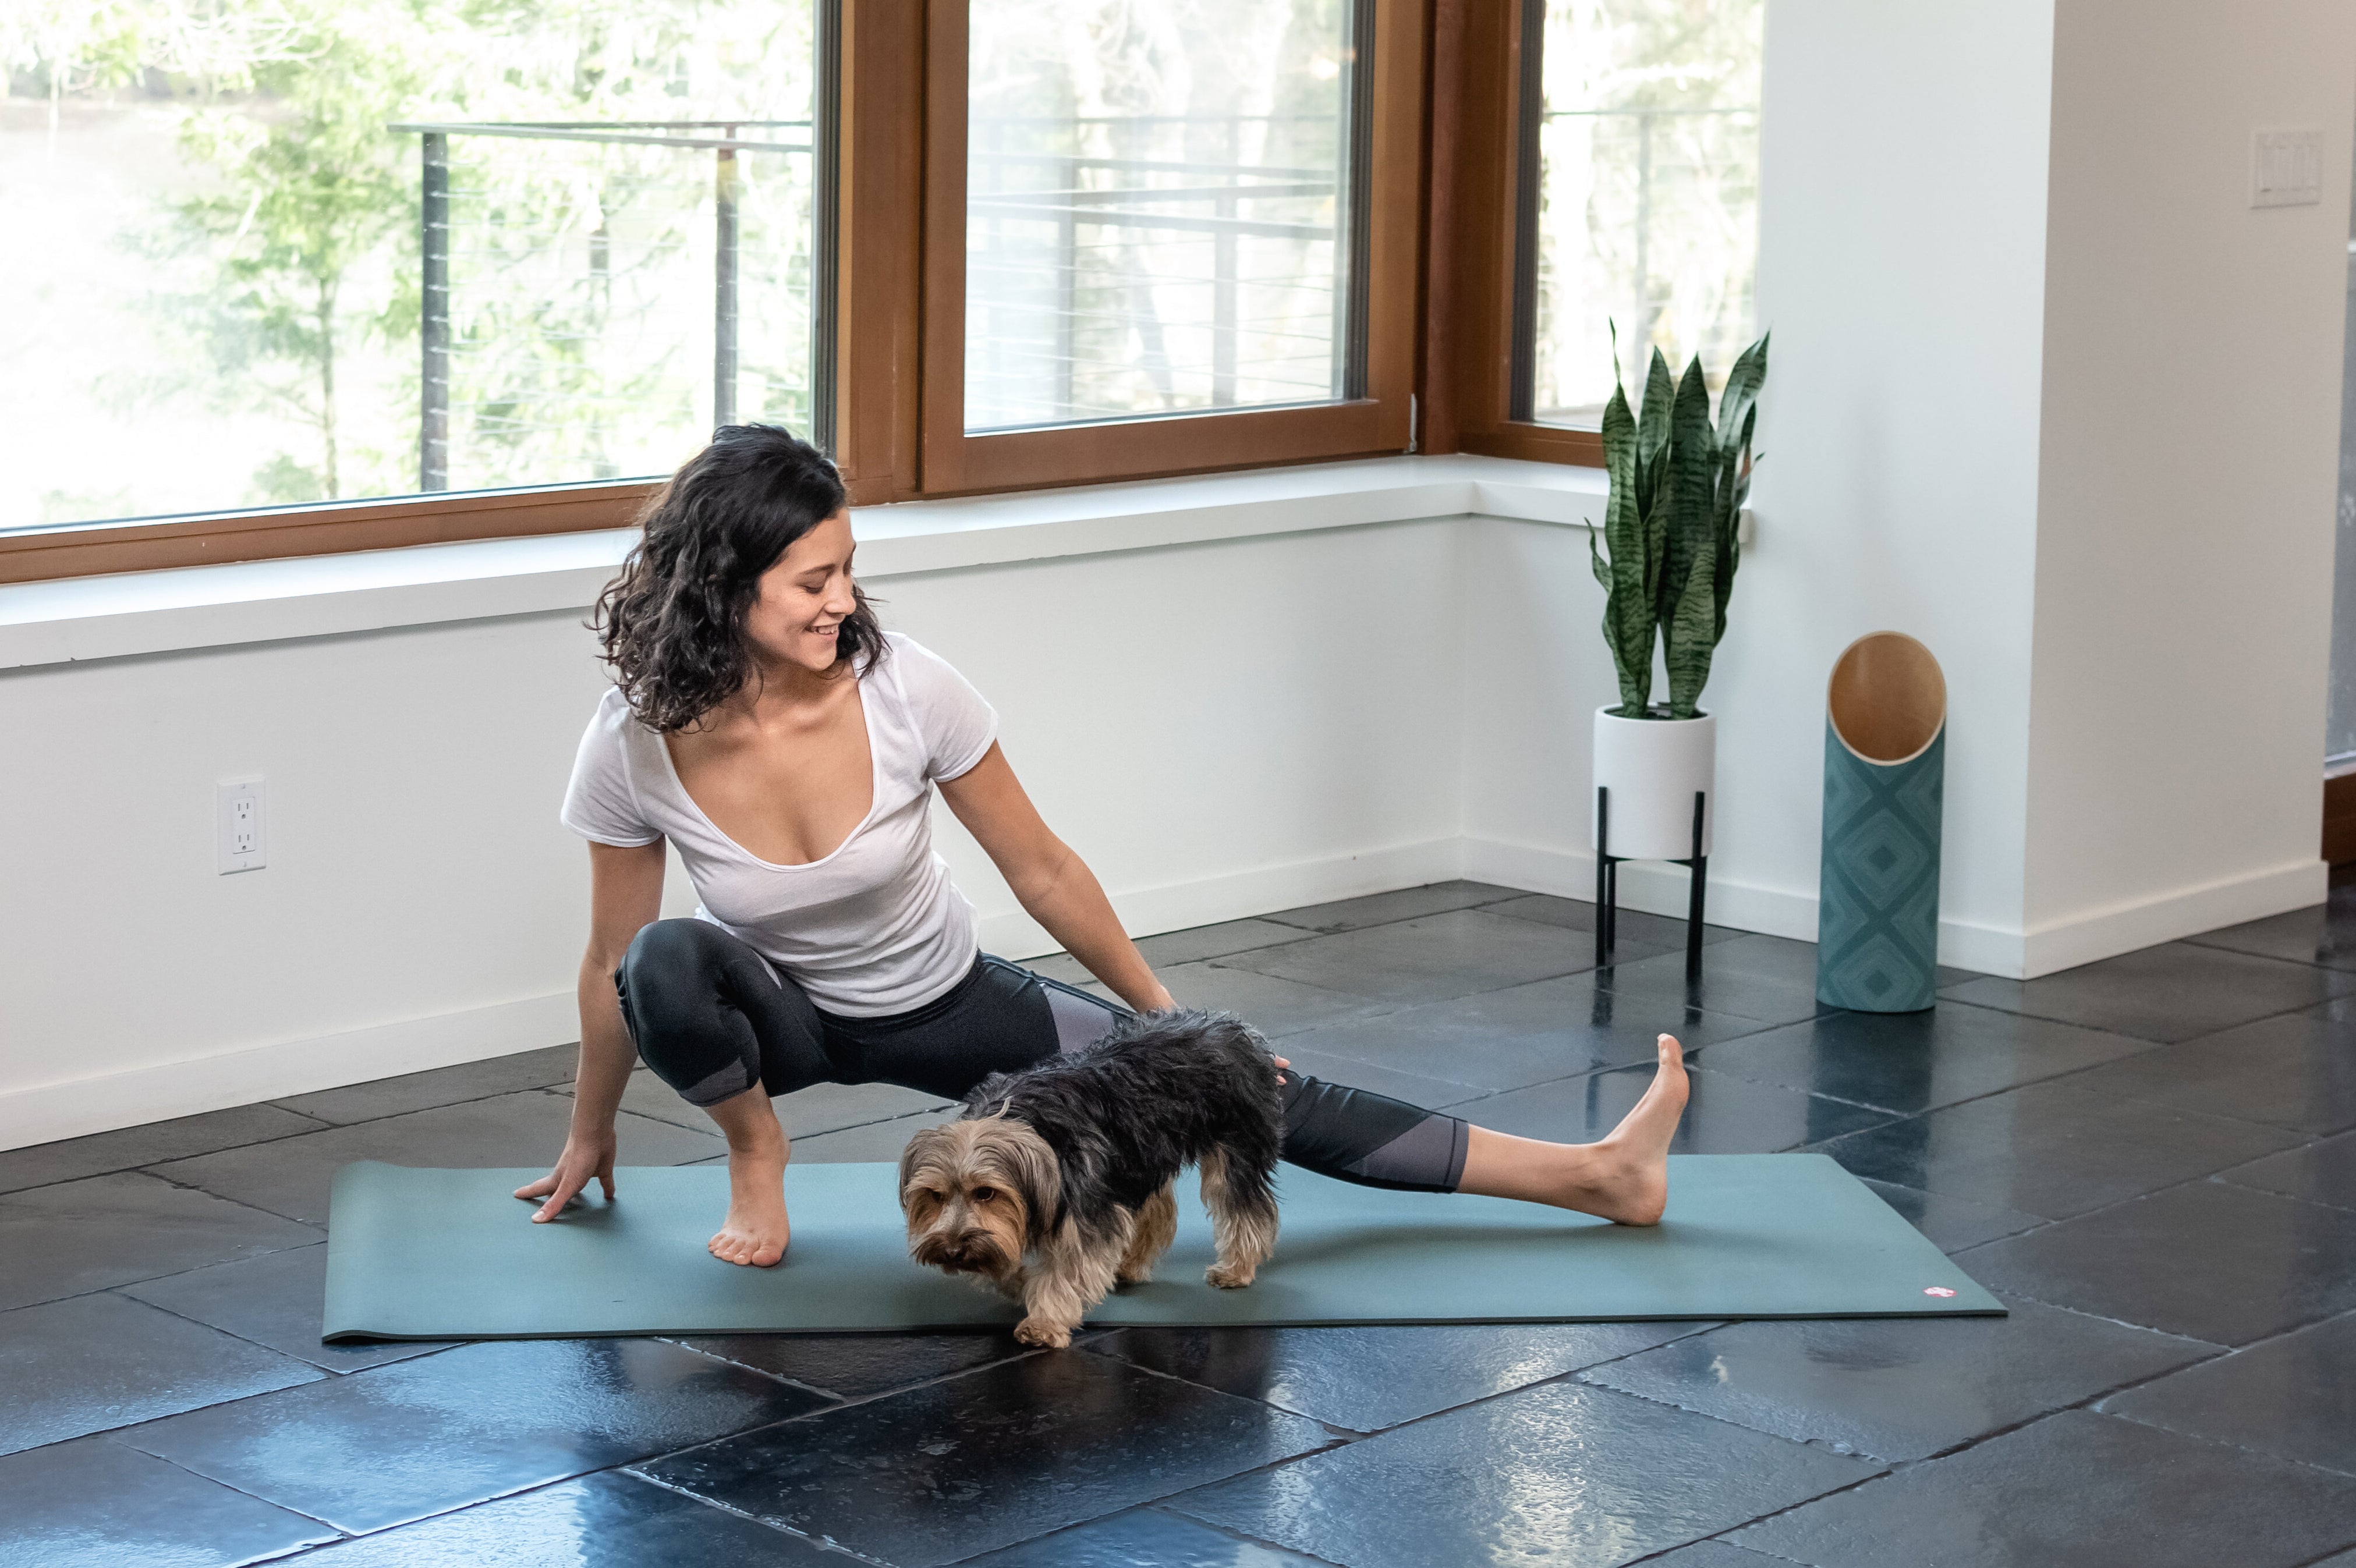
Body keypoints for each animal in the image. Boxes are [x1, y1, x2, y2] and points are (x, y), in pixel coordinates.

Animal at [895, 1008, 1281, 1346]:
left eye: (986, 1193)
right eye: (935, 1196)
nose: (954, 1251)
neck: (1018, 1120)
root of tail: (1235, 1029)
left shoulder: (1086, 1210)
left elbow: (1066, 1271)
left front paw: (1043, 1322)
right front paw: (1020, 1282)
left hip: (1235, 1144)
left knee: (1244, 1207)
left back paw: (1236, 1269)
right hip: (1139, 1154)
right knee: (1156, 1210)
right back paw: (1132, 1265)